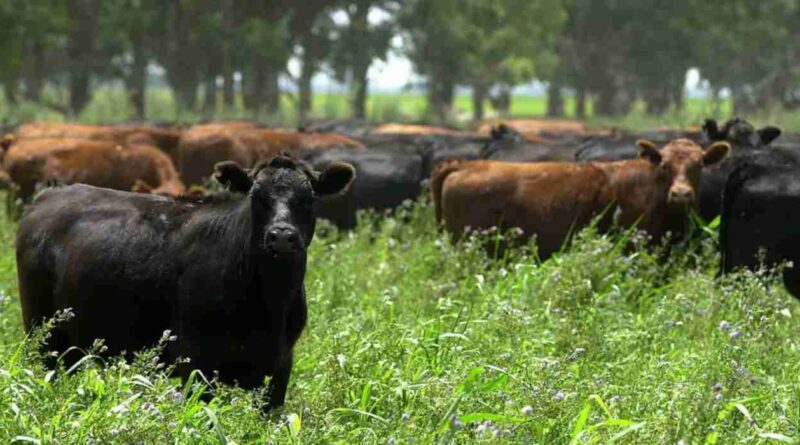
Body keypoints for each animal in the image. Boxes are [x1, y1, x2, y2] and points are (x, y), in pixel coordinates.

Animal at [14, 153, 354, 410]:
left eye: (308, 198)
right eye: (257, 197)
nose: (282, 235)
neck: (269, 303)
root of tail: (52, 193)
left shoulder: (280, 368)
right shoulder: (195, 362)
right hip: (43, 335)